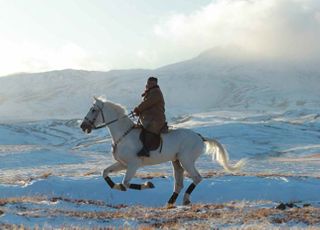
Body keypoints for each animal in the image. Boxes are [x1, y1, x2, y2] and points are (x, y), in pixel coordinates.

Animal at [80, 97, 245, 207]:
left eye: (93, 110)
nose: (83, 126)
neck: (123, 135)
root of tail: (200, 137)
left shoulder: (133, 164)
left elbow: (125, 183)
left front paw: (148, 184)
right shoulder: (123, 164)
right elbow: (105, 173)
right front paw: (116, 187)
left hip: (186, 160)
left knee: (197, 178)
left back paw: (185, 200)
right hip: (176, 162)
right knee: (179, 184)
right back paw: (170, 202)